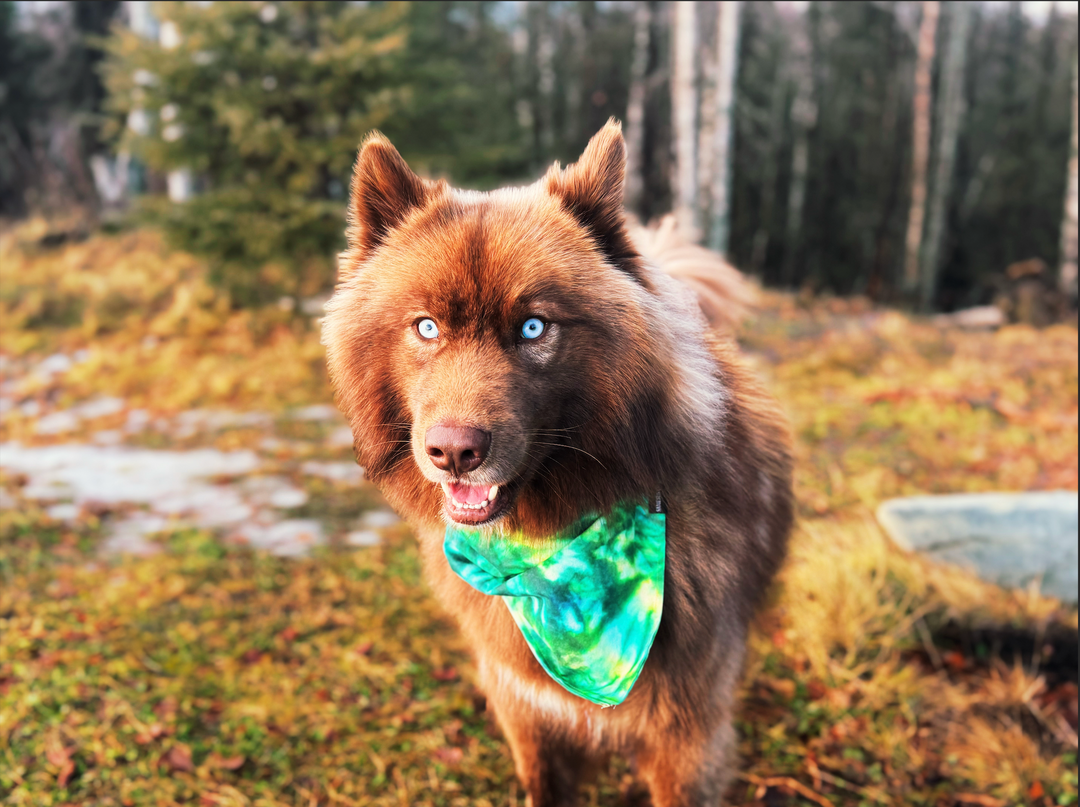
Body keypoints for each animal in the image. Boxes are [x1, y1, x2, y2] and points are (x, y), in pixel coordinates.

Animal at [319, 121, 794, 807]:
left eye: (533, 328)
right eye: (427, 328)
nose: (454, 452)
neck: (553, 551)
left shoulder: (689, 737)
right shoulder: (529, 716)